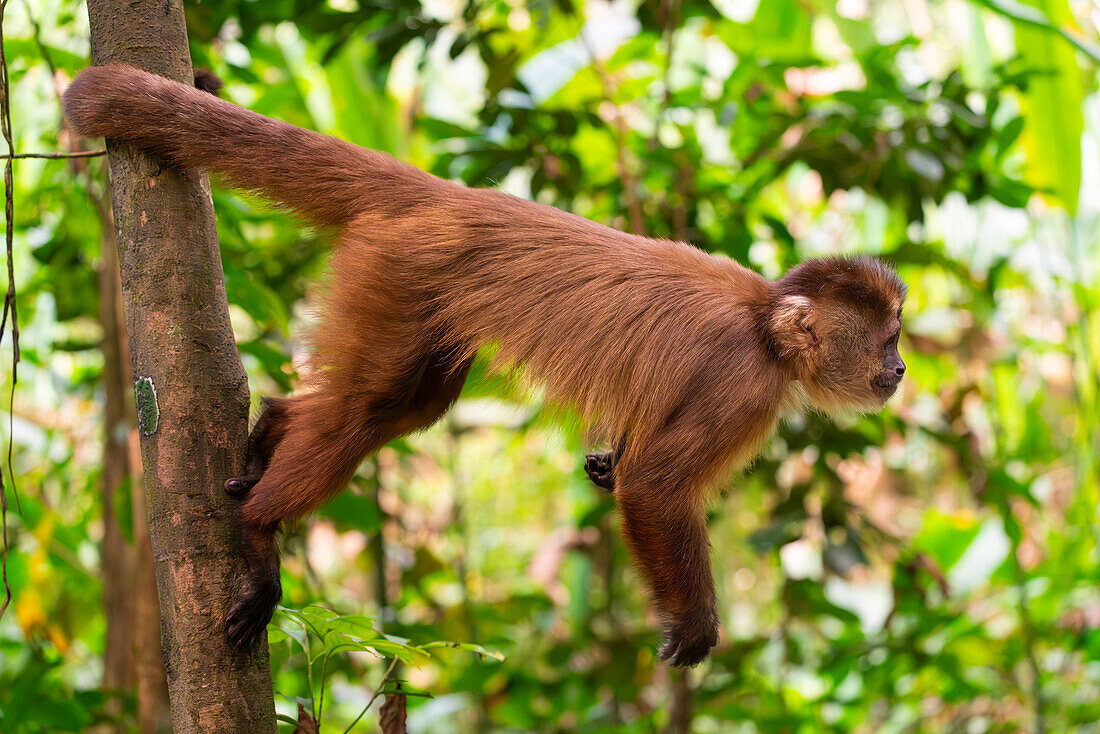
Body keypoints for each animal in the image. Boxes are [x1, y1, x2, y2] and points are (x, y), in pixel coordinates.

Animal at [60, 66, 906, 669]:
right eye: (888, 341)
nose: (900, 372)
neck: (767, 320)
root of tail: (450, 198)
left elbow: (627, 467)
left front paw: (604, 464)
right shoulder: (745, 385)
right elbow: (655, 487)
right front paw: (694, 627)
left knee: (407, 405)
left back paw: (271, 426)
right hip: (398, 270)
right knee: (366, 410)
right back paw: (261, 530)